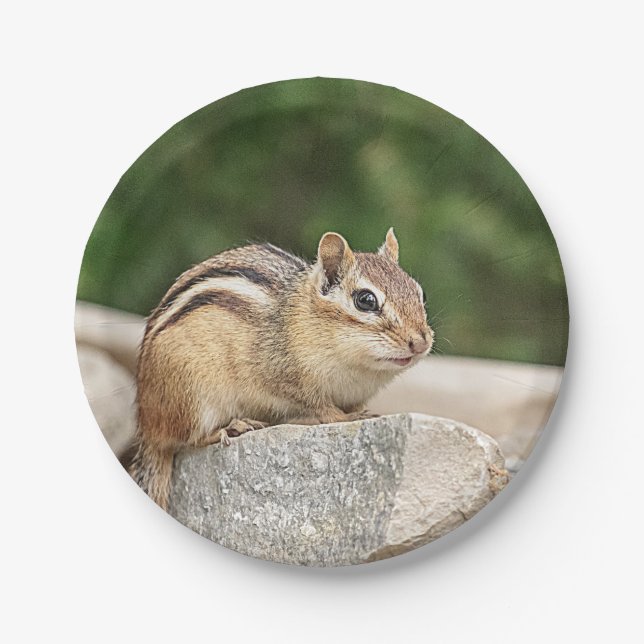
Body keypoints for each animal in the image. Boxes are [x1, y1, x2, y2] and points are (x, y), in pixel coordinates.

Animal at [129, 228, 433, 509]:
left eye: (420, 293)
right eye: (366, 300)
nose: (420, 342)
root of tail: (147, 427)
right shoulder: (284, 377)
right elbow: (321, 408)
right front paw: (347, 417)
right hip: (193, 397)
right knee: (187, 439)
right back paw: (232, 427)